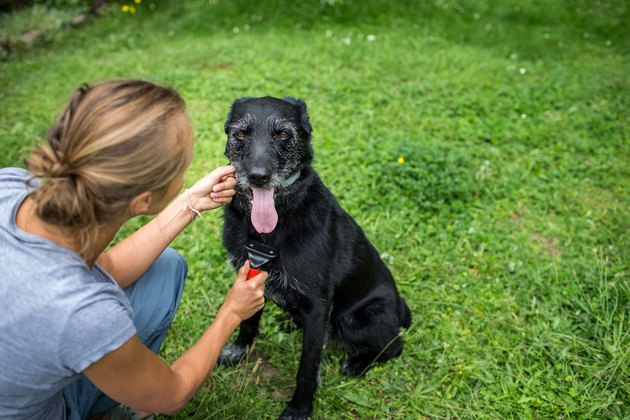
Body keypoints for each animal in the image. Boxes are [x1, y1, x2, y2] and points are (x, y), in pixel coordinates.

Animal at [220, 97, 412, 418]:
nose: (259, 176)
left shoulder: (319, 307)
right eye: (241, 134)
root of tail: (399, 307)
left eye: (284, 134)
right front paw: (238, 350)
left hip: (353, 321)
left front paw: (299, 407)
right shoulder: (251, 278)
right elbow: (247, 322)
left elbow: (307, 367)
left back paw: (358, 363)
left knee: (394, 344)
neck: (271, 231)